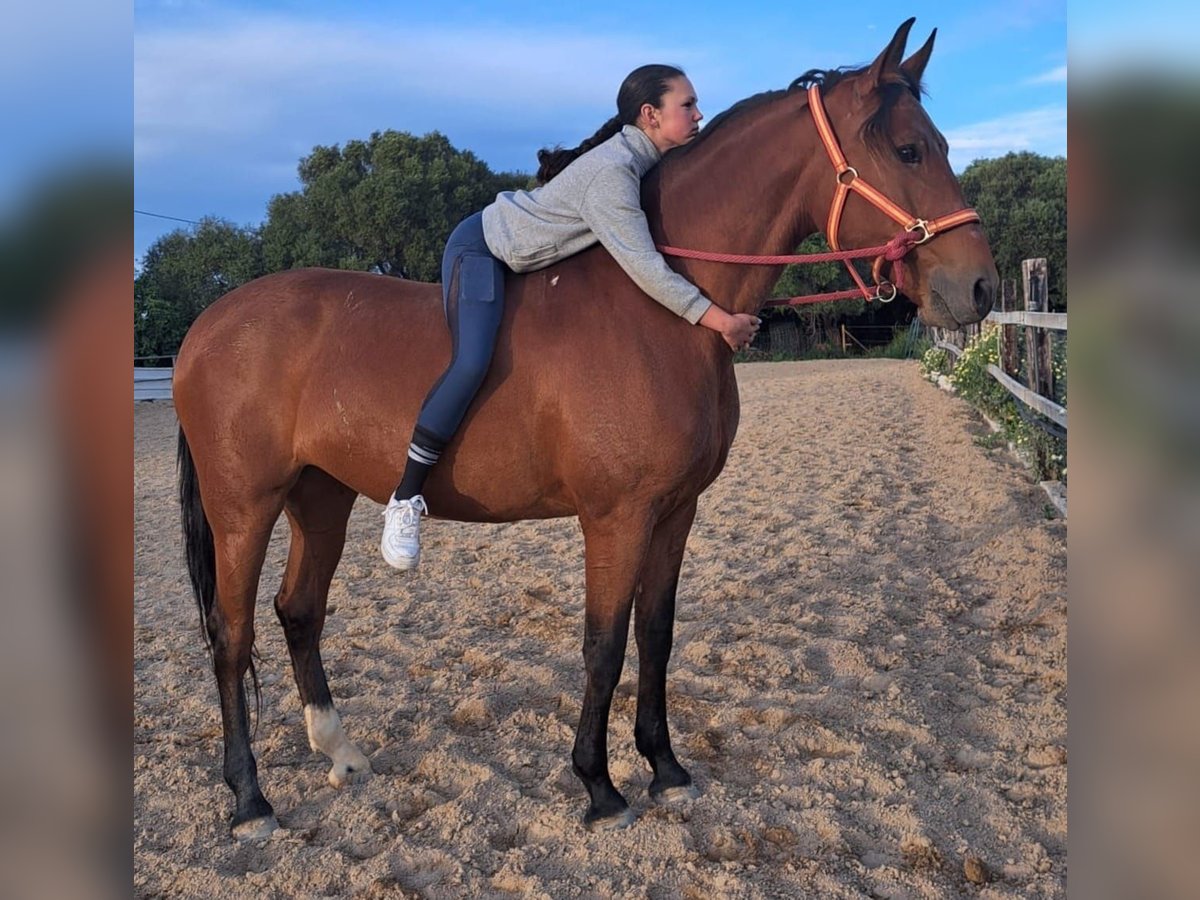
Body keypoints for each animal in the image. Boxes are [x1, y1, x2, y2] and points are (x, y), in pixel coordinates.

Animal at [169, 17, 993, 844]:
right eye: (910, 149)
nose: (978, 287)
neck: (660, 309)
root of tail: (206, 326)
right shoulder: (615, 517)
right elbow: (603, 645)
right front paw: (599, 784)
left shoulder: (675, 512)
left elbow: (655, 635)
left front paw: (666, 768)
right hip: (244, 507)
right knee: (231, 633)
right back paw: (250, 800)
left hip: (321, 497)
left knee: (298, 612)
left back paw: (339, 753)